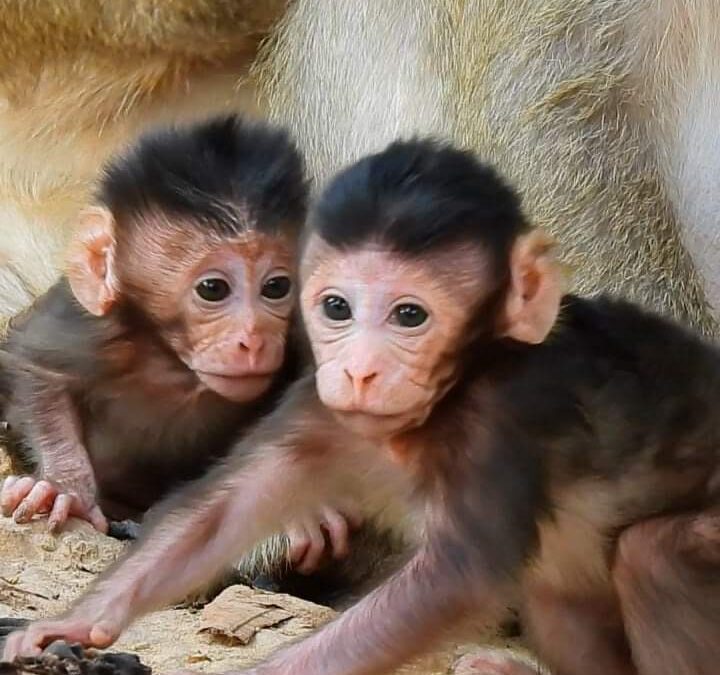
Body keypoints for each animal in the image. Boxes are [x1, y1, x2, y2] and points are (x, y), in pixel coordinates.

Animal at [5, 139, 720, 675]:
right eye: (336, 307)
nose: (359, 371)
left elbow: (450, 583)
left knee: (654, 555)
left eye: (409, 316)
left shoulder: (503, 422)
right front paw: (75, 621)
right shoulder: (312, 397)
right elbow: (225, 509)